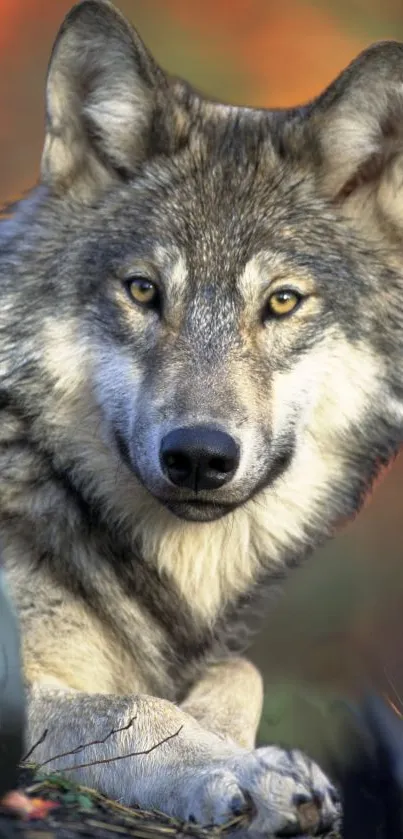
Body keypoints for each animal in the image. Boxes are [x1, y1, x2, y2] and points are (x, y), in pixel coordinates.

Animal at [0, 1, 403, 832]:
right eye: (143, 290)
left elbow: (240, 669)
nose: (197, 455)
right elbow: (135, 708)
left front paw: (266, 757)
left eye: (280, 301)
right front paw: (245, 769)